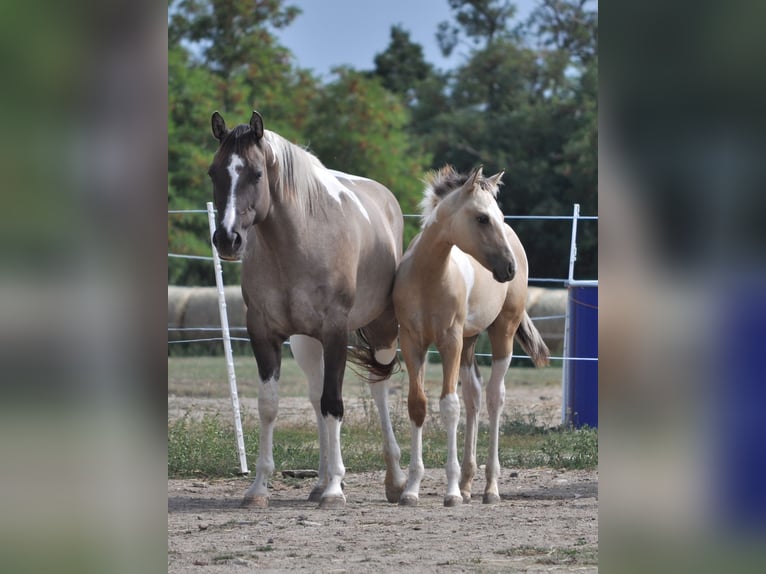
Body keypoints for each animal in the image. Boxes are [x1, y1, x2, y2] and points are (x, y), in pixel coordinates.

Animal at [207, 110, 406, 509]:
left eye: (256, 174)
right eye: (213, 172)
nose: (227, 239)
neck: (297, 243)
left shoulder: (335, 332)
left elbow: (334, 403)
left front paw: (335, 490)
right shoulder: (264, 333)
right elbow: (270, 405)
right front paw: (258, 488)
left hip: (380, 331)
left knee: (377, 389)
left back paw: (393, 481)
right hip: (305, 343)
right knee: (316, 398)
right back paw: (321, 479)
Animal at [392, 165, 550, 507]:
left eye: (499, 215)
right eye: (481, 218)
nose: (508, 268)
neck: (429, 277)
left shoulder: (449, 342)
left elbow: (449, 406)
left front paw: (450, 492)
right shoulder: (412, 343)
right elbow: (418, 404)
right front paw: (411, 490)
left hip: (502, 333)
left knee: (493, 397)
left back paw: (490, 488)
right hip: (468, 342)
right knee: (474, 396)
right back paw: (467, 483)